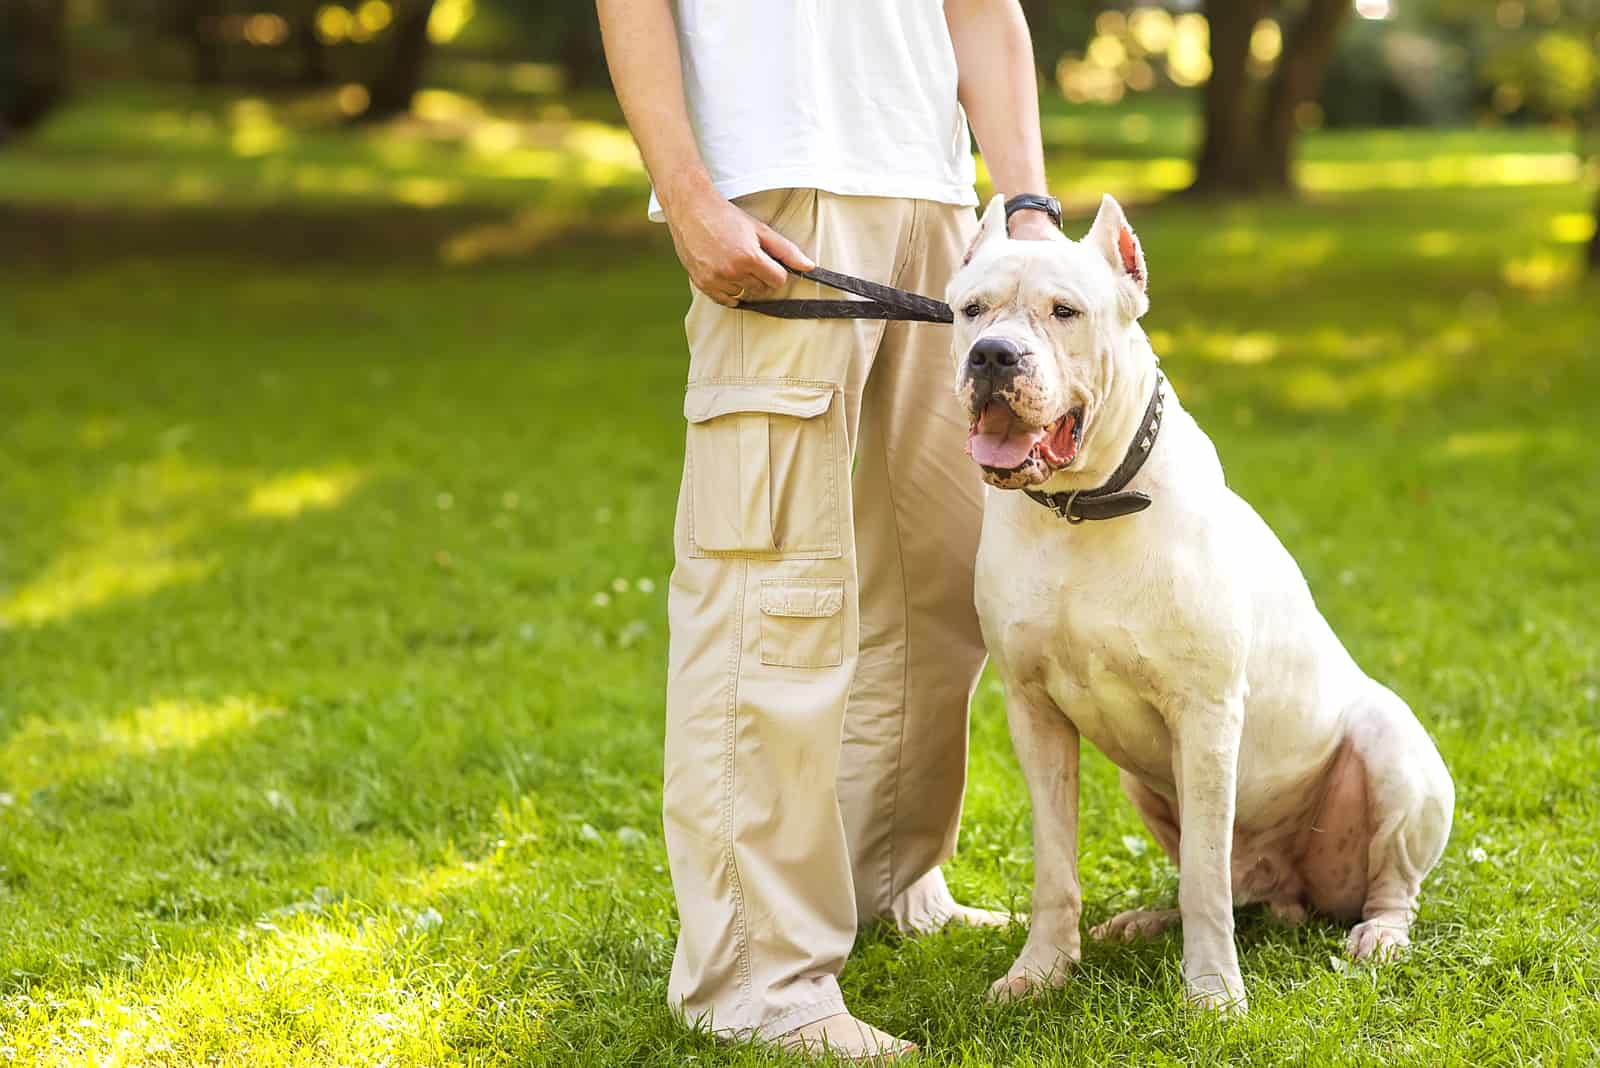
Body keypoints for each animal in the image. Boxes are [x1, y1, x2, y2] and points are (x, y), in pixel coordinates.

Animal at [940, 194, 1459, 1010]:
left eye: (1065, 312)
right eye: (970, 310)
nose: (992, 356)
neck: (1082, 509)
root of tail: (1296, 896)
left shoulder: (1207, 715)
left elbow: (1205, 882)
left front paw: (1213, 993)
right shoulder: (1034, 710)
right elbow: (1056, 864)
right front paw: (1041, 971)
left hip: (1393, 751)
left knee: (1385, 884)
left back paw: (1378, 936)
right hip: (1143, 783)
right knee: (1234, 879)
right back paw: (1145, 923)